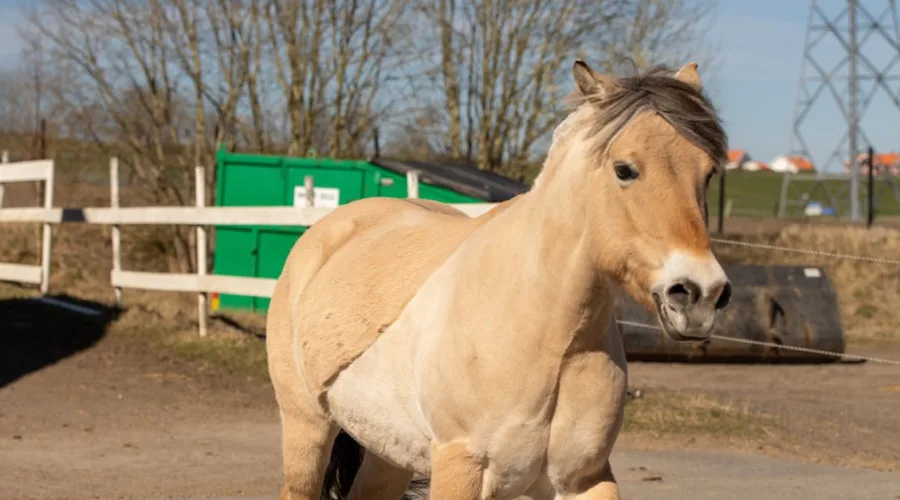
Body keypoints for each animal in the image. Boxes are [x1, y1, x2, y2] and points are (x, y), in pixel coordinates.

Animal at [266, 59, 732, 500]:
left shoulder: (585, 479)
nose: (700, 294)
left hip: (388, 453)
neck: (547, 335)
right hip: (308, 425)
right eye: (624, 169)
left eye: (708, 172)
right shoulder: (461, 468)